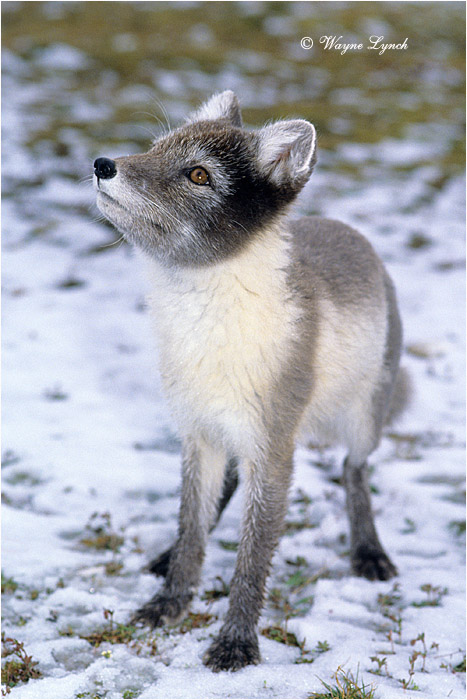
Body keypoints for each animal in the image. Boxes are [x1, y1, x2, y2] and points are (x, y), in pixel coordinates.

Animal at [93, 91, 409, 672]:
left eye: (198, 174)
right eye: (154, 148)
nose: (104, 164)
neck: (203, 322)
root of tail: (349, 230)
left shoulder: (274, 447)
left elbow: (253, 556)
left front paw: (237, 641)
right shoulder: (197, 435)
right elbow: (192, 528)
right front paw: (170, 600)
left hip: (363, 419)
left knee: (354, 471)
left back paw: (369, 551)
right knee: (224, 492)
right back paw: (165, 556)